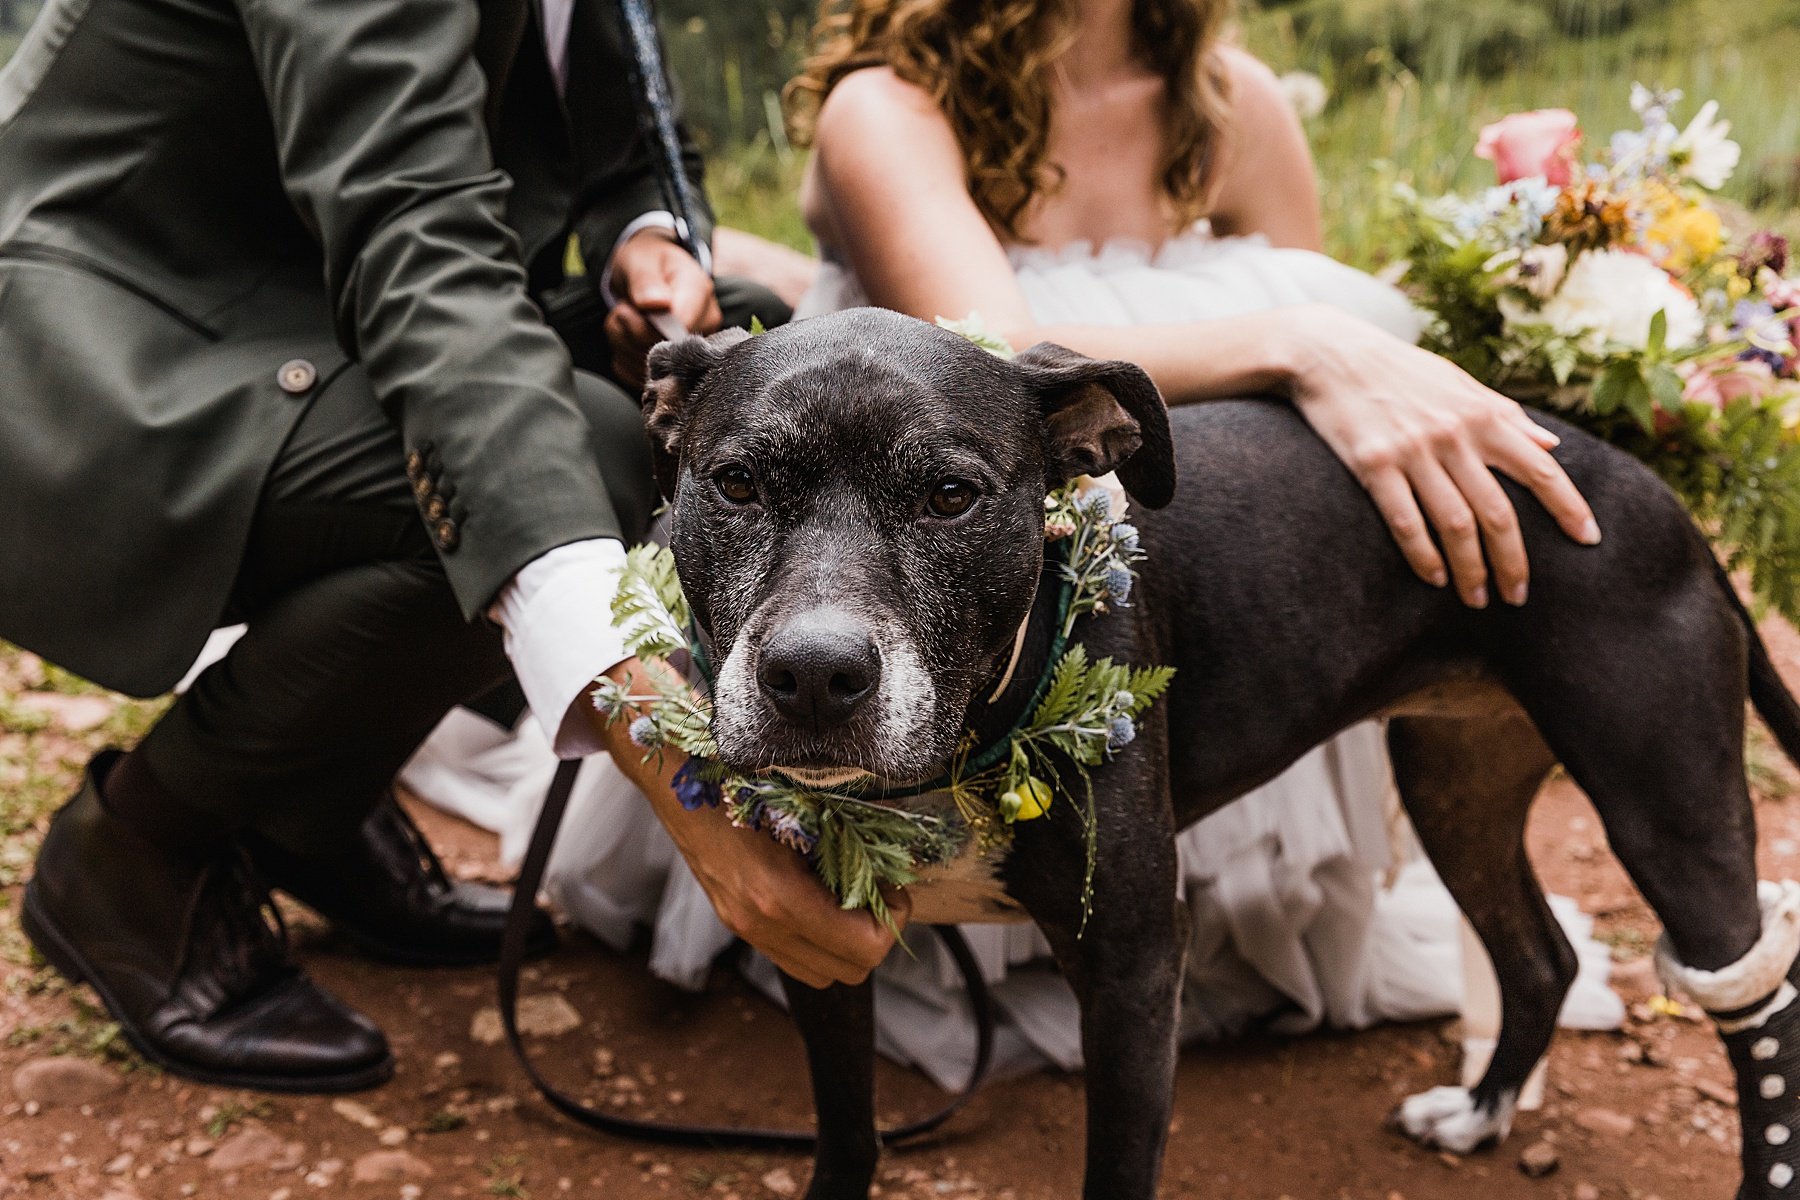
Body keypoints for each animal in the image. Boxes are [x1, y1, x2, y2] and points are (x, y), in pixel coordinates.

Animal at [640, 309, 1800, 1200]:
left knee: (1756, 1004)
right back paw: (1477, 1116)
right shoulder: (816, 951)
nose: (813, 675)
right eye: (736, 483)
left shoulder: (1135, 967)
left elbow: (1116, 1172)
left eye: (950, 496)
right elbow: (846, 1139)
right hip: (1455, 784)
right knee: (1541, 957)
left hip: (1668, 808)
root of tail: (1658, 499)